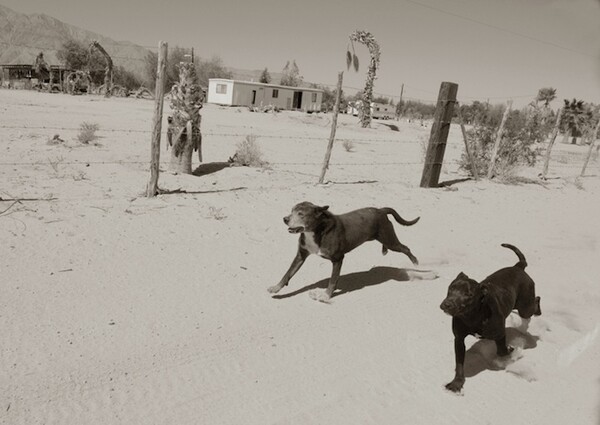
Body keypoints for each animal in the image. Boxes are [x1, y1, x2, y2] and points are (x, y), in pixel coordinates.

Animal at [268, 201, 418, 302]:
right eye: (292, 210)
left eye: (301, 214)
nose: (285, 219)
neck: (317, 230)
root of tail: (381, 210)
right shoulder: (300, 256)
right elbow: (288, 273)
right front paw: (276, 288)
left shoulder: (338, 259)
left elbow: (333, 279)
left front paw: (326, 295)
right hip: (383, 238)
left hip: (390, 240)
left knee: (406, 248)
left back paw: (416, 263)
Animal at [438, 243, 540, 392]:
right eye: (450, 288)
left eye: (469, 295)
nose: (447, 304)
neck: (472, 316)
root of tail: (518, 267)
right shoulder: (459, 339)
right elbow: (459, 364)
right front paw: (457, 383)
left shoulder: (500, 333)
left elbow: (502, 351)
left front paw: (511, 350)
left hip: (525, 305)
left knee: (535, 302)